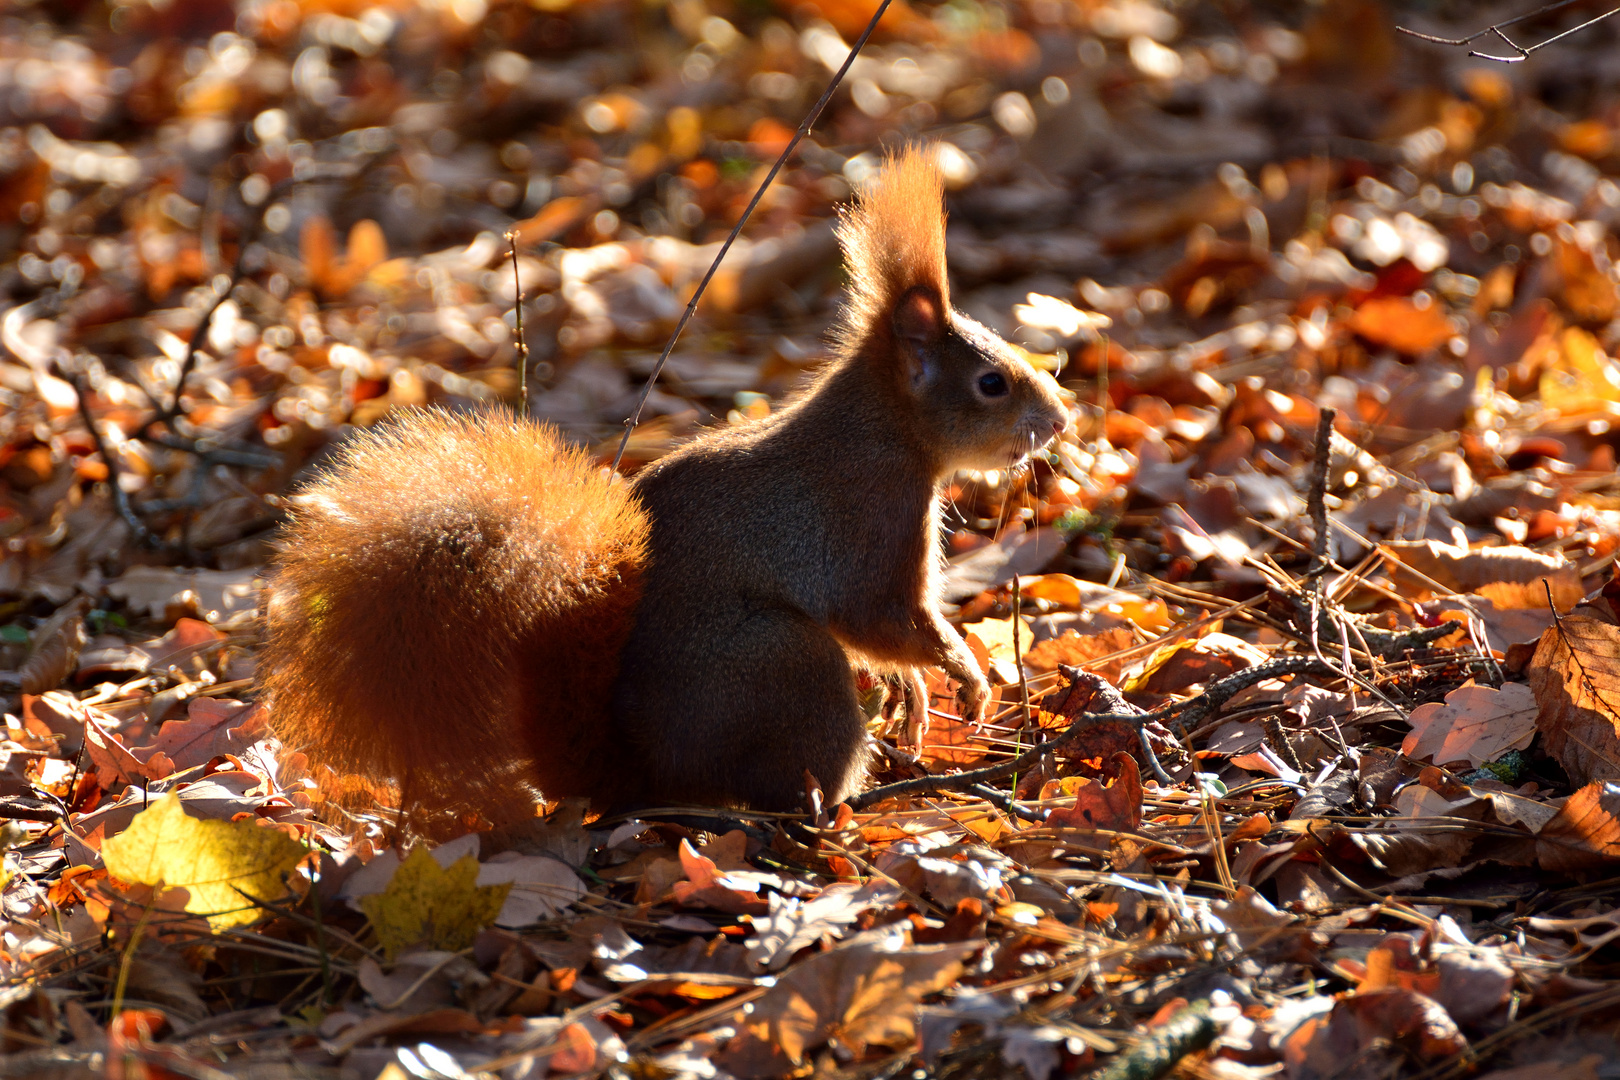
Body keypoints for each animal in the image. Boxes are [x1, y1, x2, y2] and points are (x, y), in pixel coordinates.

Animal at [259, 149, 1069, 829]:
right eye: (992, 383)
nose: (1060, 420)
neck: (888, 429)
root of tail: (638, 775)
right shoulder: (870, 520)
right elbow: (882, 620)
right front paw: (966, 679)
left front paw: (917, 696)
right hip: (780, 662)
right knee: (786, 783)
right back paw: (839, 807)